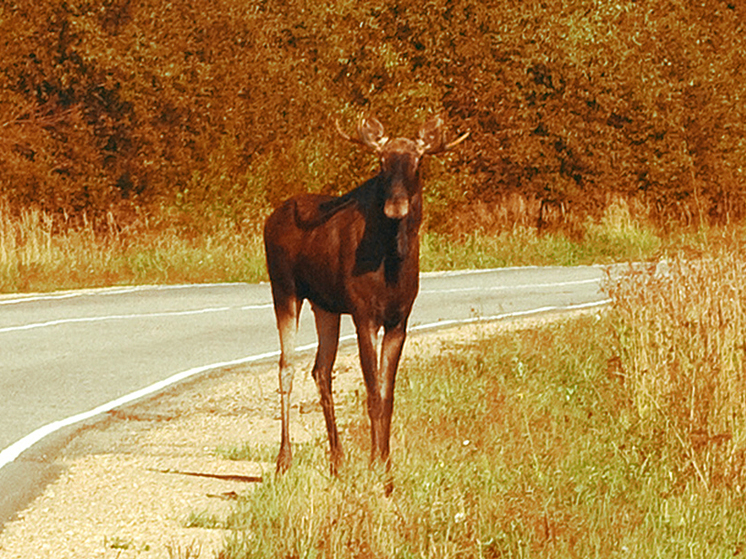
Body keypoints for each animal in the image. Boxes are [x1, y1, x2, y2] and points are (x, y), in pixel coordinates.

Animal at [264, 115, 468, 486]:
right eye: (382, 162)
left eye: (418, 161)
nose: (396, 206)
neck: (392, 263)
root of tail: (268, 220)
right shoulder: (364, 315)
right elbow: (373, 393)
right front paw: (376, 467)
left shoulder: (399, 320)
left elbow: (387, 395)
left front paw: (386, 466)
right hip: (285, 289)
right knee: (287, 366)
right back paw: (284, 460)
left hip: (325, 306)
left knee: (320, 370)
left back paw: (337, 459)